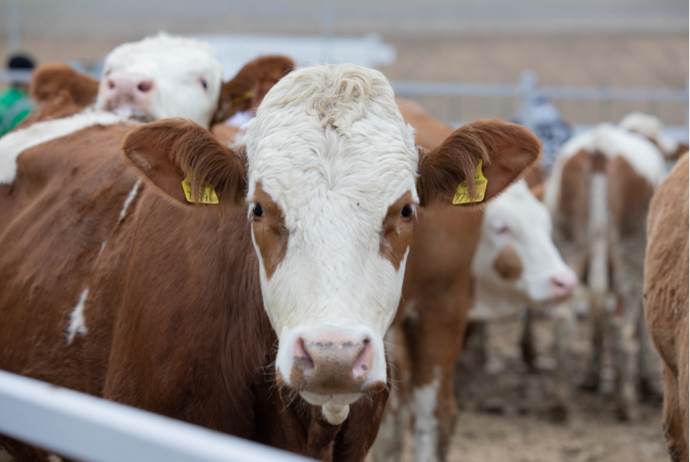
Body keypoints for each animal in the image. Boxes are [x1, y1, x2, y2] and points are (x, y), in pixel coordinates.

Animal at [544, 124, 668, 420]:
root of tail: (601, 145)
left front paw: (592, 374)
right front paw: (646, 380)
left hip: (568, 246)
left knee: (564, 317)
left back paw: (560, 402)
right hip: (631, 255)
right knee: (621, 323)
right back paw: (626, 402)